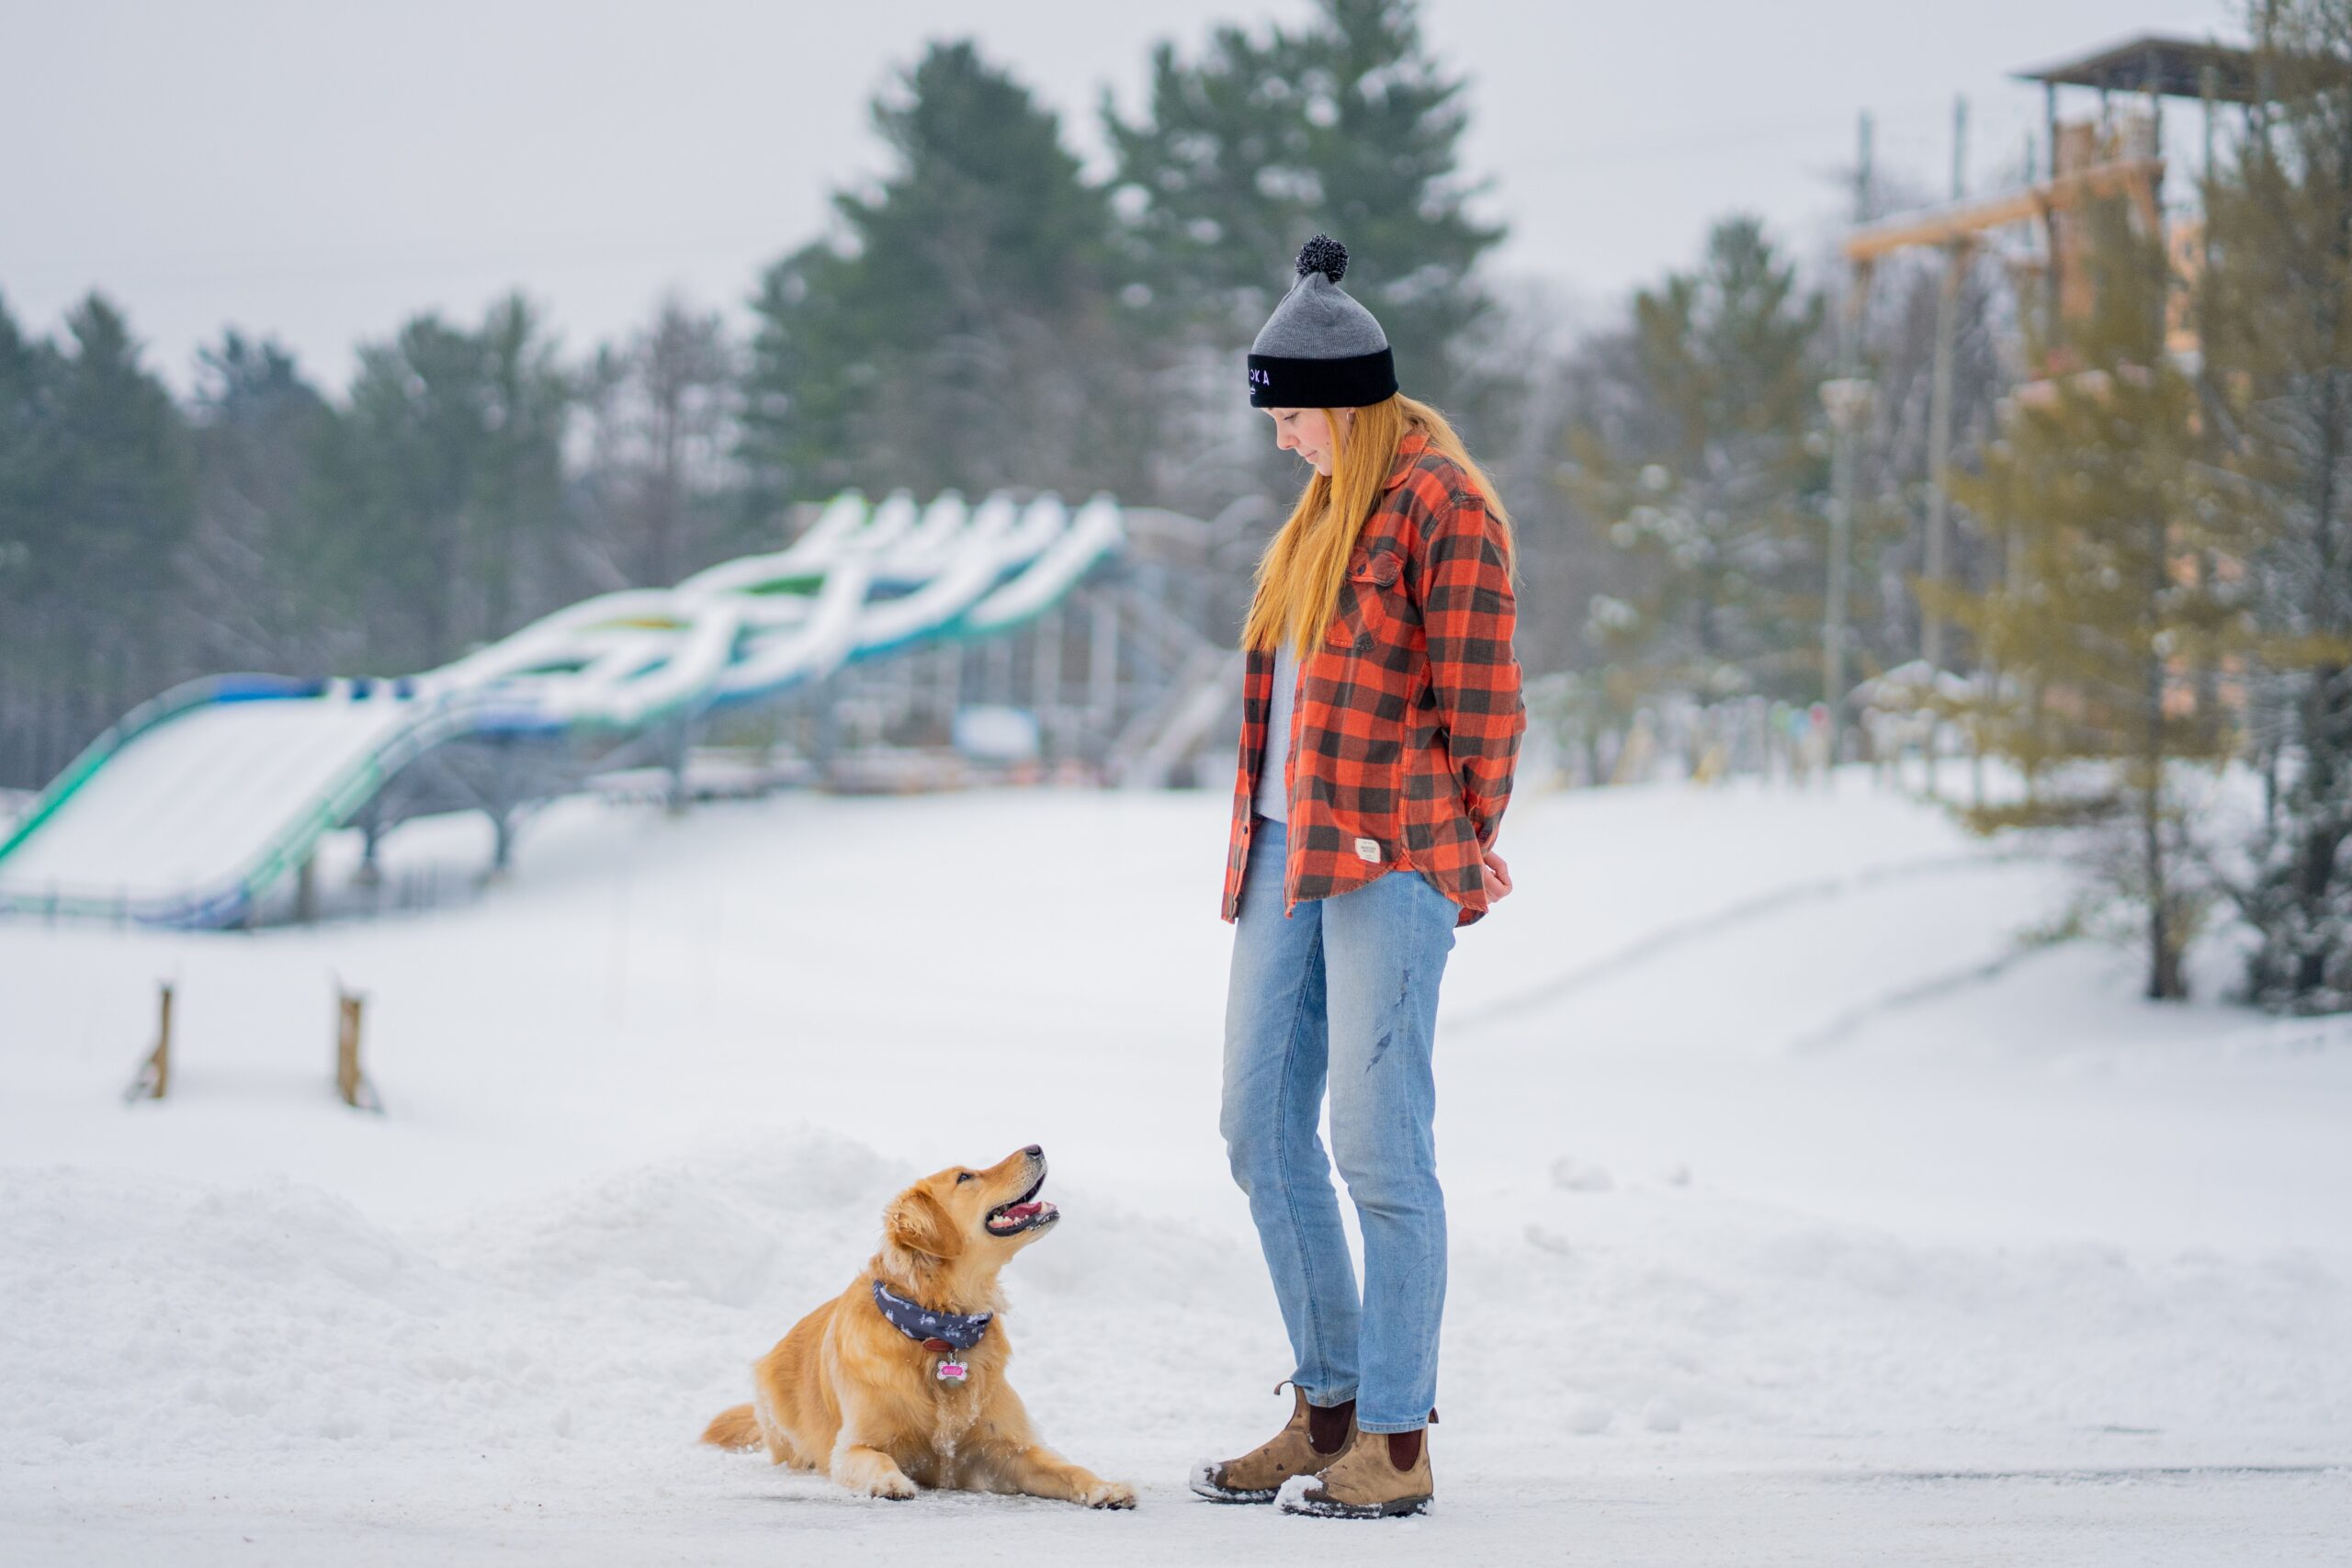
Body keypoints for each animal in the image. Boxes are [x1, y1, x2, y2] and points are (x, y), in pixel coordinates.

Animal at [695, 1152, 1138, 1504]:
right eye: (965, 1177)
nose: (1036, 1147)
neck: (938, 1332)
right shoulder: (852, 1447)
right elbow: (876, 1459)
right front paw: (891, 1483)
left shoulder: (1013, 1451)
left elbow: (1068, 1468)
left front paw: (1105, 1486)